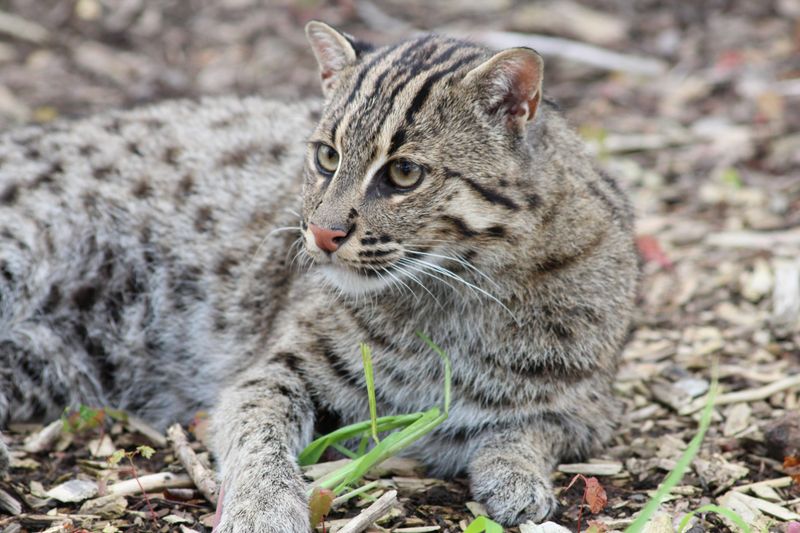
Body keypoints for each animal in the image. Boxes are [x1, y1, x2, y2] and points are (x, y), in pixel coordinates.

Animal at [0, 21, 636, 532]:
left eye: (405, 173)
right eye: (326, 157)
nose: (322, 234)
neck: (453, 288)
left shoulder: (588, 408)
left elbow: (529, 430)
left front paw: (516, 476)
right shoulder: (271, 372)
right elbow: (258, 436)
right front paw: (265, 511)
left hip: (54, 362)